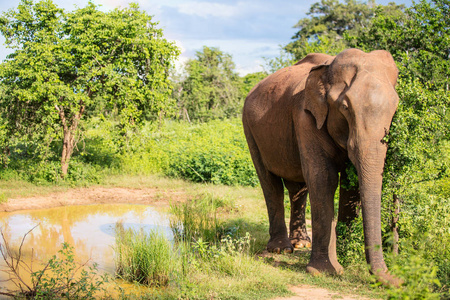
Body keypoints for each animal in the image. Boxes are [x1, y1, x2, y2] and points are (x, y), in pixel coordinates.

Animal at [243, 48, 400, 284]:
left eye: (395, 108)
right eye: (345, 107)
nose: (397, 281)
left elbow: (351, 184)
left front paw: (344, 254)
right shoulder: (305, 117)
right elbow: (323, 178)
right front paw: (325, 271)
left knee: (297, 188)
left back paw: (301, 243)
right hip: (250, 130)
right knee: (270, 183)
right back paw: (281, 249)